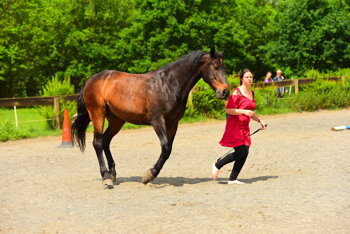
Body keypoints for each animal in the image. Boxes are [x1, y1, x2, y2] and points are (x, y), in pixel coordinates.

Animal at [71, 48, 230, 189]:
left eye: (224, 67)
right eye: (216, 66)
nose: (225, 91)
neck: (168, 85)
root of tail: (91, 79)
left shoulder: (173, 123)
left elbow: (168, 150)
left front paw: (150, 174)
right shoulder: (157, 121)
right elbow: (165, 147)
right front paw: (149, 175)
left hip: (117, 120)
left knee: (105, 141)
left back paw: (113, 174)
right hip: (97, 114)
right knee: (97, 143)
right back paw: (106, 177)